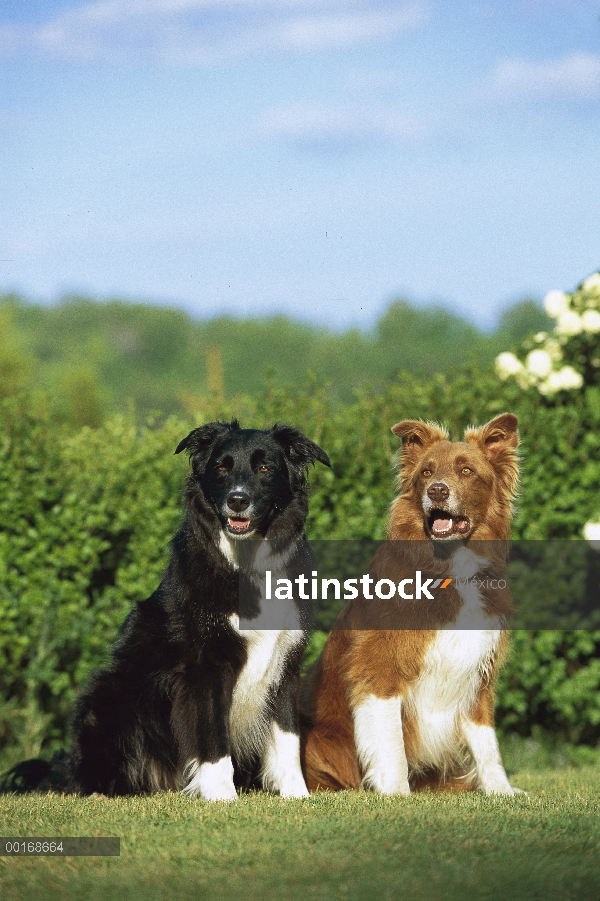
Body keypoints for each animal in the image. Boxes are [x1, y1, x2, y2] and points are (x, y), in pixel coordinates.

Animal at [4, 418, 330, 800]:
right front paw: (221, 796)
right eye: (221, 467)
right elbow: (213, 737)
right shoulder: (204, 665)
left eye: (265, 468)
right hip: (109, 696)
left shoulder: (286, 662)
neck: (247, 562)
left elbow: (288, 738)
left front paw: (297, 796)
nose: (237, 500)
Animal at [300, 412, 520, 792]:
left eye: (466, 471)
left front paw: (502, 792)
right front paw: (396, 792)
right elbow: (391, 744)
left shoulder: (478, 672)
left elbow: (487, 743)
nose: (437, 491)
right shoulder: (380, 665)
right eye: (426, 473)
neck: (450, 569)